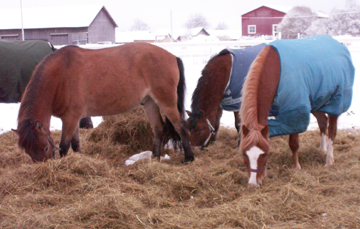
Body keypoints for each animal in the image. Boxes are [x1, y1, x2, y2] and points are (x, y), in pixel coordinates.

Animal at [12, 42, 194, 163]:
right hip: (150, 102)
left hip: (166, 102)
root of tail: (172, 57)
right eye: (28, 152)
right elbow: (75, 144)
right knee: (158, 128)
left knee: (180, 126)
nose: (45, 165)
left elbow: (64, 146)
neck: (60, 76)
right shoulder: (73, 118)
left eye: (45, 147)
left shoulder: (70, 119)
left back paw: (189, 158)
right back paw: (155, 158)